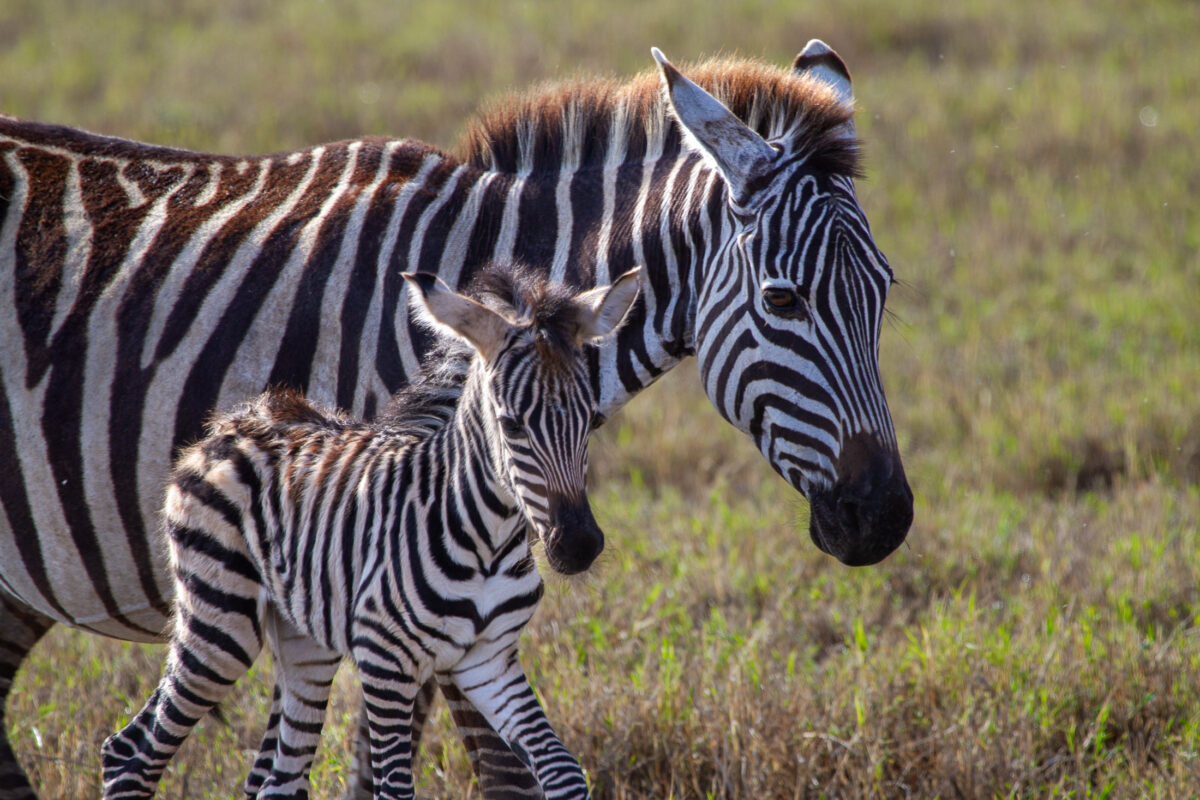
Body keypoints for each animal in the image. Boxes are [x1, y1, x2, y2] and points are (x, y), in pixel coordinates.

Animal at [101, 264, 639, 799]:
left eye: (592, 419)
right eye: (511, 425)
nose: (579, 547)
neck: (488, 540)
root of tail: (234, 423)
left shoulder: (489, 661)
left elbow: (564, 771)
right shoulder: (385, 662)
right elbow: (395, 789)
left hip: (304, 643)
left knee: (278, 779)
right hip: (219, 621)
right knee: (131, 751)